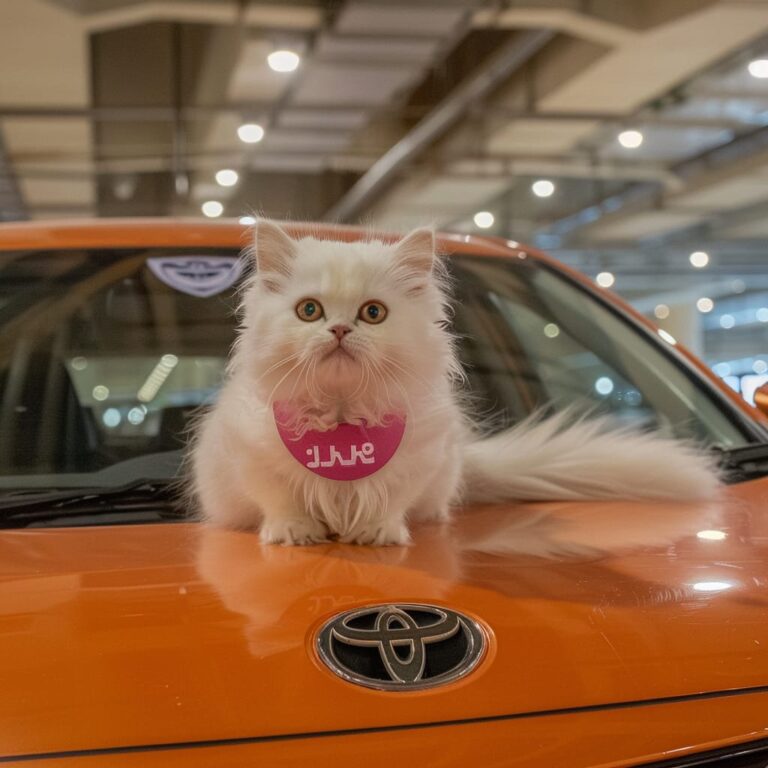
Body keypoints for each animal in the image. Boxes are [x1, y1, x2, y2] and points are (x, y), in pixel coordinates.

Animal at [192, 222, 720, 544]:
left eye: (373, 313)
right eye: (309, 311)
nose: (340, 330)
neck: (341, 424)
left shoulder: (420, 463)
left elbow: (391, 500)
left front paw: (377, 533)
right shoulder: (252, 461)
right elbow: (280, 499)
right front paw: (295, 533)